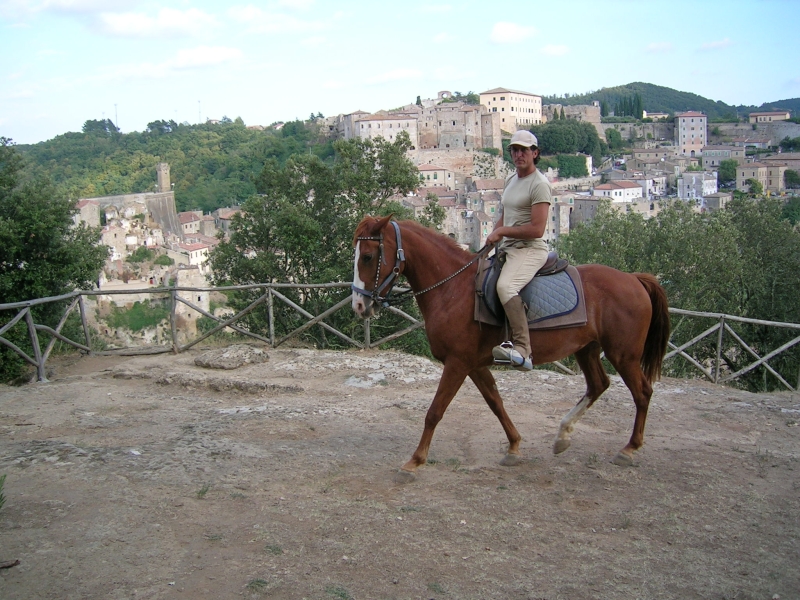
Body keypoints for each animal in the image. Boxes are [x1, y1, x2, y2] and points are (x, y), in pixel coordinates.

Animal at [350, 216, 668, 482]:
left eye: (367, 257)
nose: (359, 305)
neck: (453, 289)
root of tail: (634, 279)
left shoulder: (457, 363)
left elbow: (435, 411)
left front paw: (414, 462)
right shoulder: (474, 364)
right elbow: (496, 403)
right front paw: (514, 447)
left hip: (623, 355)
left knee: (642, 393)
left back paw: (629, 448)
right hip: (587, 349)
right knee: (598, 385)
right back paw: (563, 435)